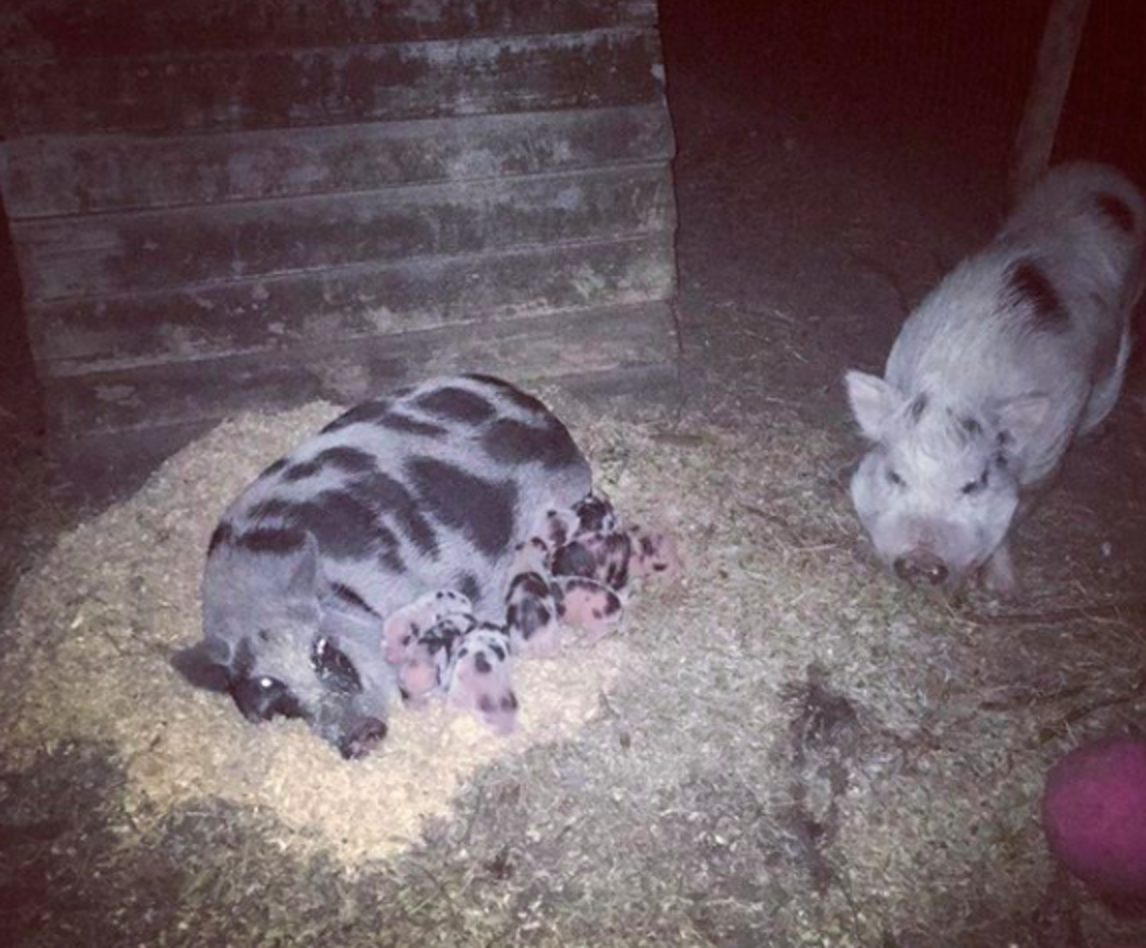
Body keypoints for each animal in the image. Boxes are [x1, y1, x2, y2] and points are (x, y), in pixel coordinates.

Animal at [845, 162, 1145, 594]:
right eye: (896, 475)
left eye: (974, 483)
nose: (921, 561)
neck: (955, 388)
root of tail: (1102, 171)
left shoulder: (1048, 450)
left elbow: (1017, 508)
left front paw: (1001, 589)